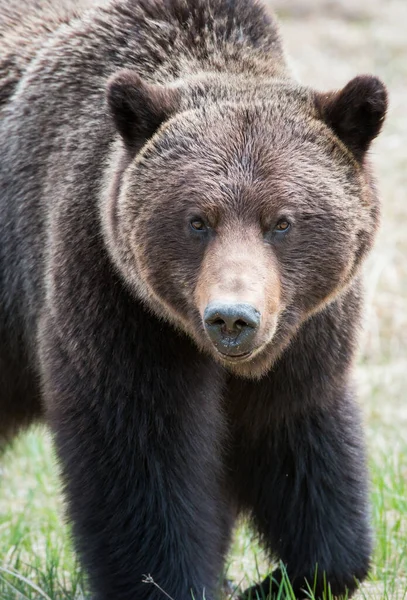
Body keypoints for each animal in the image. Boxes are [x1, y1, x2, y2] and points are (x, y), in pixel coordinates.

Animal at [0, 1, 388, 600]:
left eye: (282, 222)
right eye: (197, 221)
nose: (232, 317)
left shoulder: (306, 331)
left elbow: (298, 441)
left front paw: (284, 574)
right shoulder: (113, 295)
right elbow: (141, 456)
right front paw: (175, 579)